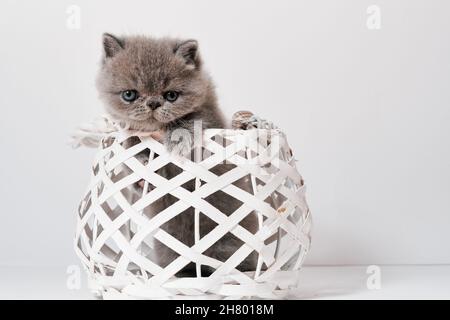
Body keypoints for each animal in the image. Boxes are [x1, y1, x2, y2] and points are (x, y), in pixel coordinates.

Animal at [96, 33, 256, 276]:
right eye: (129, 94)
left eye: (171, 95)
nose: (153, 103)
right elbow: (133, 149)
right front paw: (142, 167)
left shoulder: (210, 116)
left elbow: (192, 119)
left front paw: (178, 141)